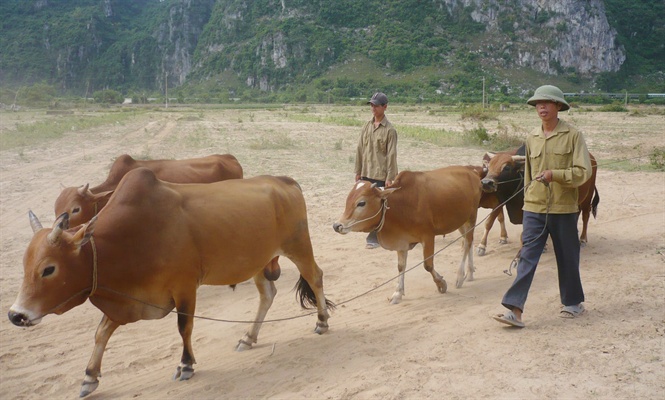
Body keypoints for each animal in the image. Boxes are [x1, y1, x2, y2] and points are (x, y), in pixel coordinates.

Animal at [9, 168, 330, 396]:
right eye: (25, 265)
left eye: (48, 269)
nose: (16, 315)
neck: (129, 239)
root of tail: (285, 181)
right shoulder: (125, 300)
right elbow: (101, 333)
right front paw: (89, 376)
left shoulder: (184, 287)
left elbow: (183, 326)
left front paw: (186, 365)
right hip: (259, 261)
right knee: (268, 293)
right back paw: (248, 338)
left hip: (298, 246)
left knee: (315, 277)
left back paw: (322, 322)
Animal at [334, 166, 480, 304]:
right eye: (347, 200)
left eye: (361, 203)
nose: (337, 226)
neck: (401, 205)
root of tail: (472, 173)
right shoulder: (402, 241)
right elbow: (401, 266)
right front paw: (398, 293)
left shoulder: (428, 237)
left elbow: (428, 266)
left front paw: (441, 284)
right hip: (461, 221)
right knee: (469, 242)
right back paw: (470, 272)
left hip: (471, 217)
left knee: (467, 243)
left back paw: (460, 276)